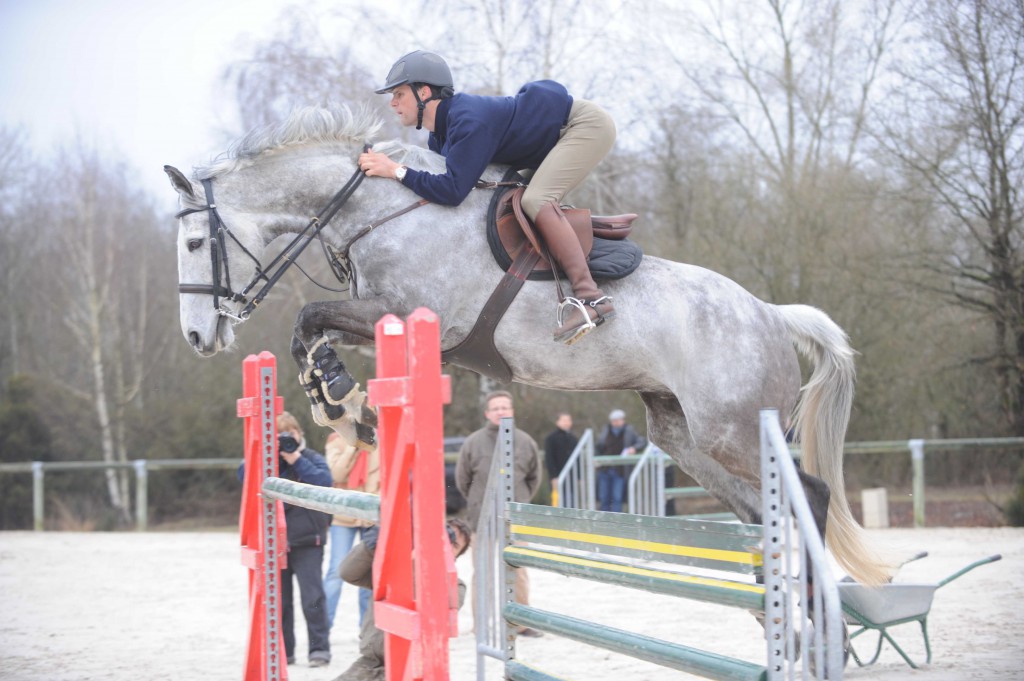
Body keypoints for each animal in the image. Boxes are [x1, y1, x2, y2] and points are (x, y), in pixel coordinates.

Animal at [165, 104, 888, 585]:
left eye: (197, 242)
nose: (199, 336)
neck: (385, 209)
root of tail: (771, 313)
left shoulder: (411, 315)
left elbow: (310, 314)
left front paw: (339, 398)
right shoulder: (381, 320)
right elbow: (310, 328)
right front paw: (338, 402)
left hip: (731, 430)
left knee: (809, 496)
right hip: (681, 433)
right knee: (760, 510)